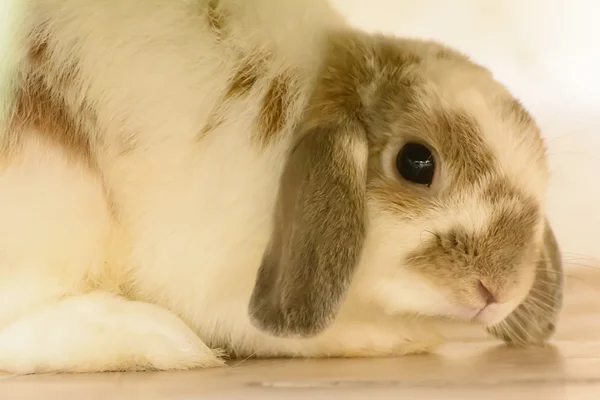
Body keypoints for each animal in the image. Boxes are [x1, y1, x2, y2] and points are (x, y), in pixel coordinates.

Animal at [0, 0, 564, 374]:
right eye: (417, 161)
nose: (501, 289)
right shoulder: (218, 279)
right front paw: (399, 335)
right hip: (59, 196)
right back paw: (156, 339)